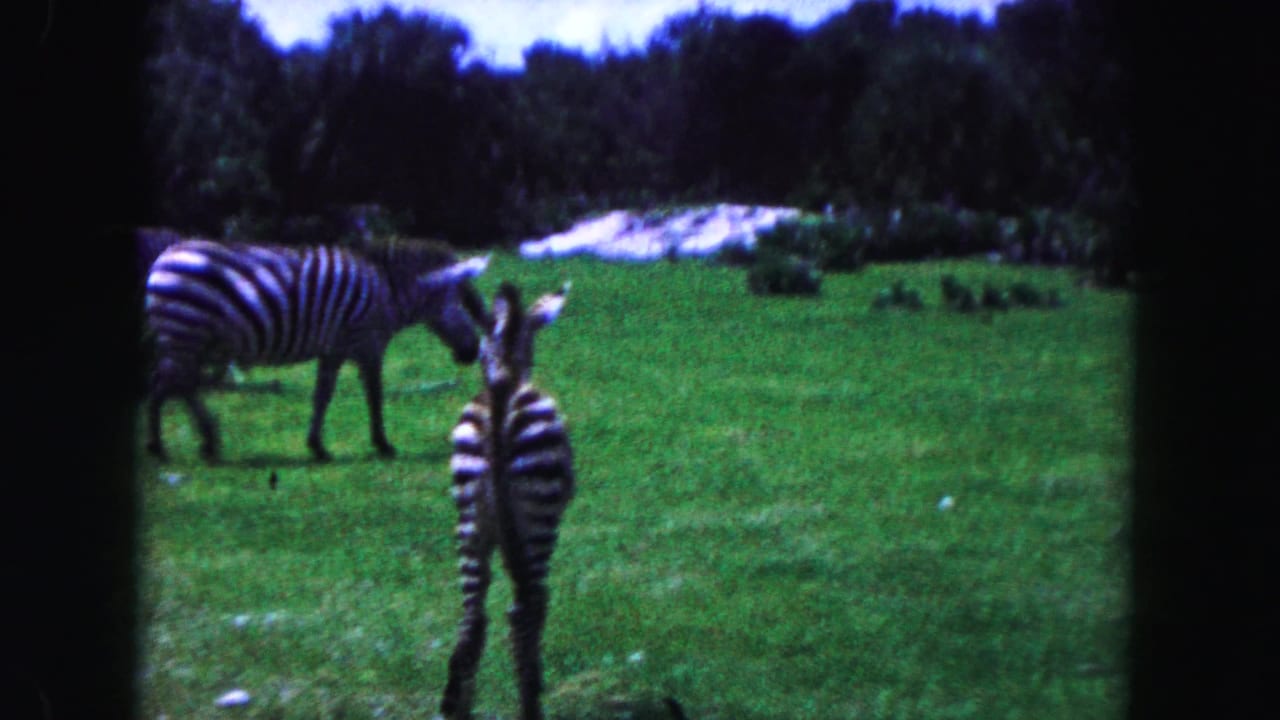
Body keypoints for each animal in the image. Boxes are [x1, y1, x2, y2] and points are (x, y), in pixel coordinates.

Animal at [144, 237, 489, 462]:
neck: (389, 290)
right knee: (172, 385)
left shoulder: (333, 350)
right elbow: (374, 395)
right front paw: (383, 444)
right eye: (462, 302)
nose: (472, 353)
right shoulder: (368, 343)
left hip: (190, 337)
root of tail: (164, 257)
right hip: (186, 331)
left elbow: (322, 395)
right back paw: (172, 445)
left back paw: (190, 443)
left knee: (173, 385)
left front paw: (317, 446)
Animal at [439, 281, 574, 720]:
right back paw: (531, 704)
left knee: (472, 622)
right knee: (525, 609)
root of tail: (500, 397)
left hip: (468, 519)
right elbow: (535, 605)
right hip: (538, 517)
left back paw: (457, 707)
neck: (505, 373)